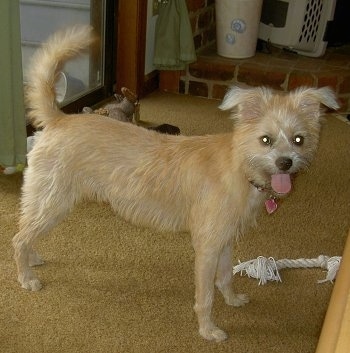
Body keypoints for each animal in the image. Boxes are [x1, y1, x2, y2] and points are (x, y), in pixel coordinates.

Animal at [13, 25, 340, 340]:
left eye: (298, 140)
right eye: (266, 140)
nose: (286, 163)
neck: (239, 167)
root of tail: (59, 119)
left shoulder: (225, 240)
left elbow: (225, 277)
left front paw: (233, 300)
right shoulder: (207, 246)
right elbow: (205, 296)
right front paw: (208, 331)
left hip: (48, 203)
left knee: (26, 234)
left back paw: (33, 260)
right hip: (52, 202)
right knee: (19, 238)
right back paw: (26, 278)